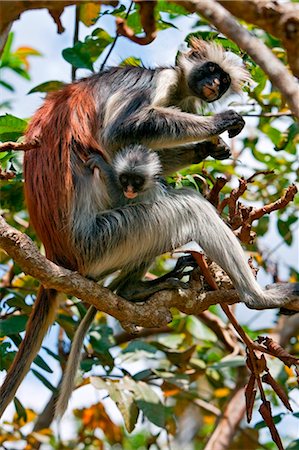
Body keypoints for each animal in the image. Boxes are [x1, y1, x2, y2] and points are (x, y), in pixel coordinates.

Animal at [0, 37, 298, 416]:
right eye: (211, 69)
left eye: (224, 80)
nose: (214, 85)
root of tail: (57, 254)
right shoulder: (159, 85)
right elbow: (121, 133)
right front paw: (220, 122)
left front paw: (208, 147)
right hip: (104, 240)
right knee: (190, 207)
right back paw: (258, 297)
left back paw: (134, 290)